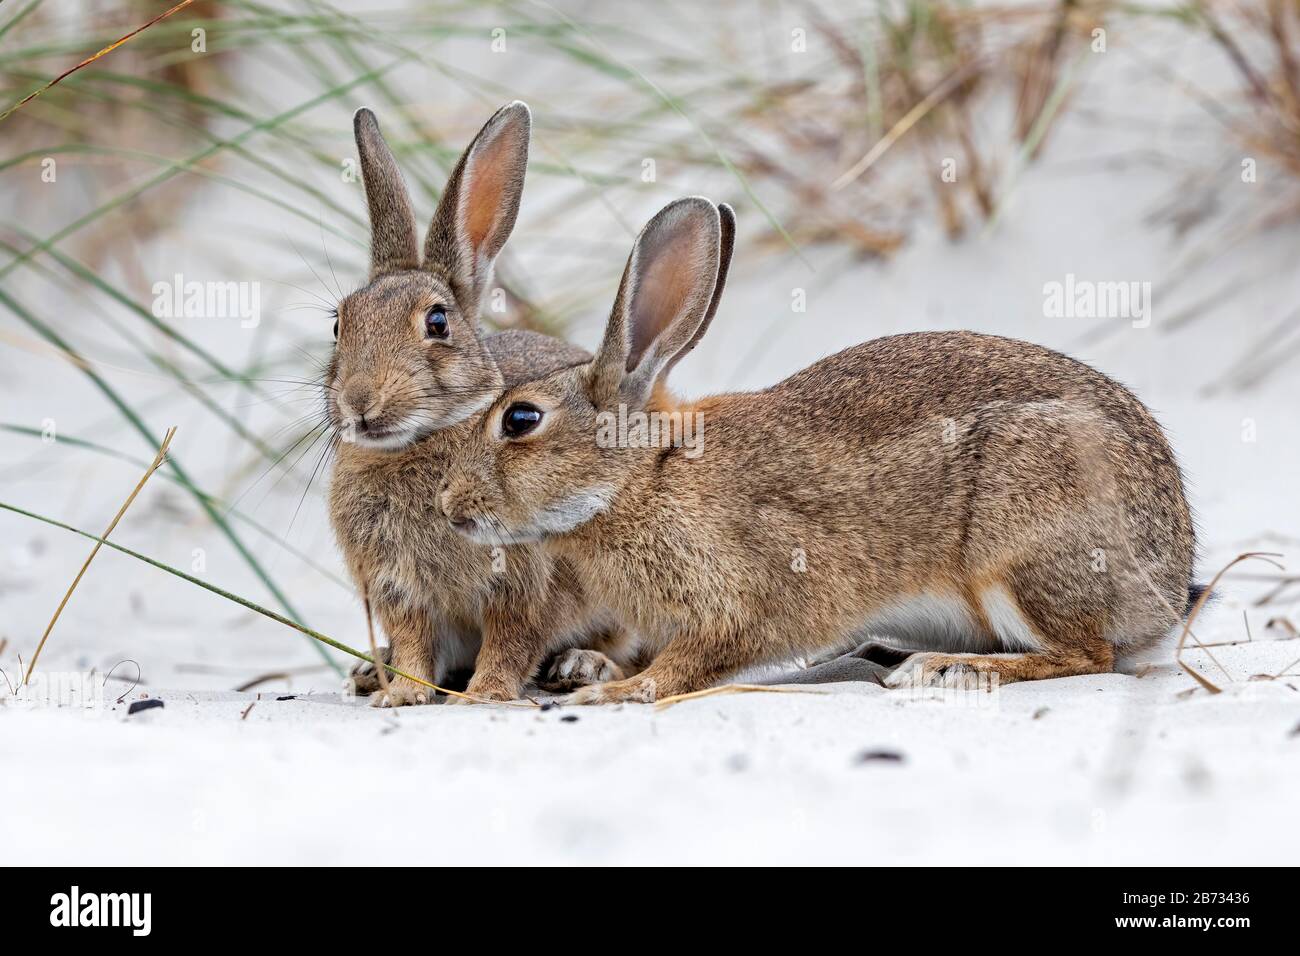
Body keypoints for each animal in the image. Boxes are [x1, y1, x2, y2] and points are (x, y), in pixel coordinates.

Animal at [323, 102, 629, 702]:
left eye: (438, 322)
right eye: (339, 324)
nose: (359, 400)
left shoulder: (524, 581)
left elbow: (512, 640)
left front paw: (487, 694)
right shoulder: (399, 590)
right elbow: (415, 642)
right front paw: (405, 692)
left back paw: (582, 665)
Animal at [441, 196, 1201, 702]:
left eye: (520, 419)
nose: (448, 506)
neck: (643, 477)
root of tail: (1168, 577)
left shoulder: (742, 601)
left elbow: (692, 662)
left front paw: (617, 690)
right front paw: (593, 669)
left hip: (1020, 545)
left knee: (1087, 652)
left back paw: (949, 669)